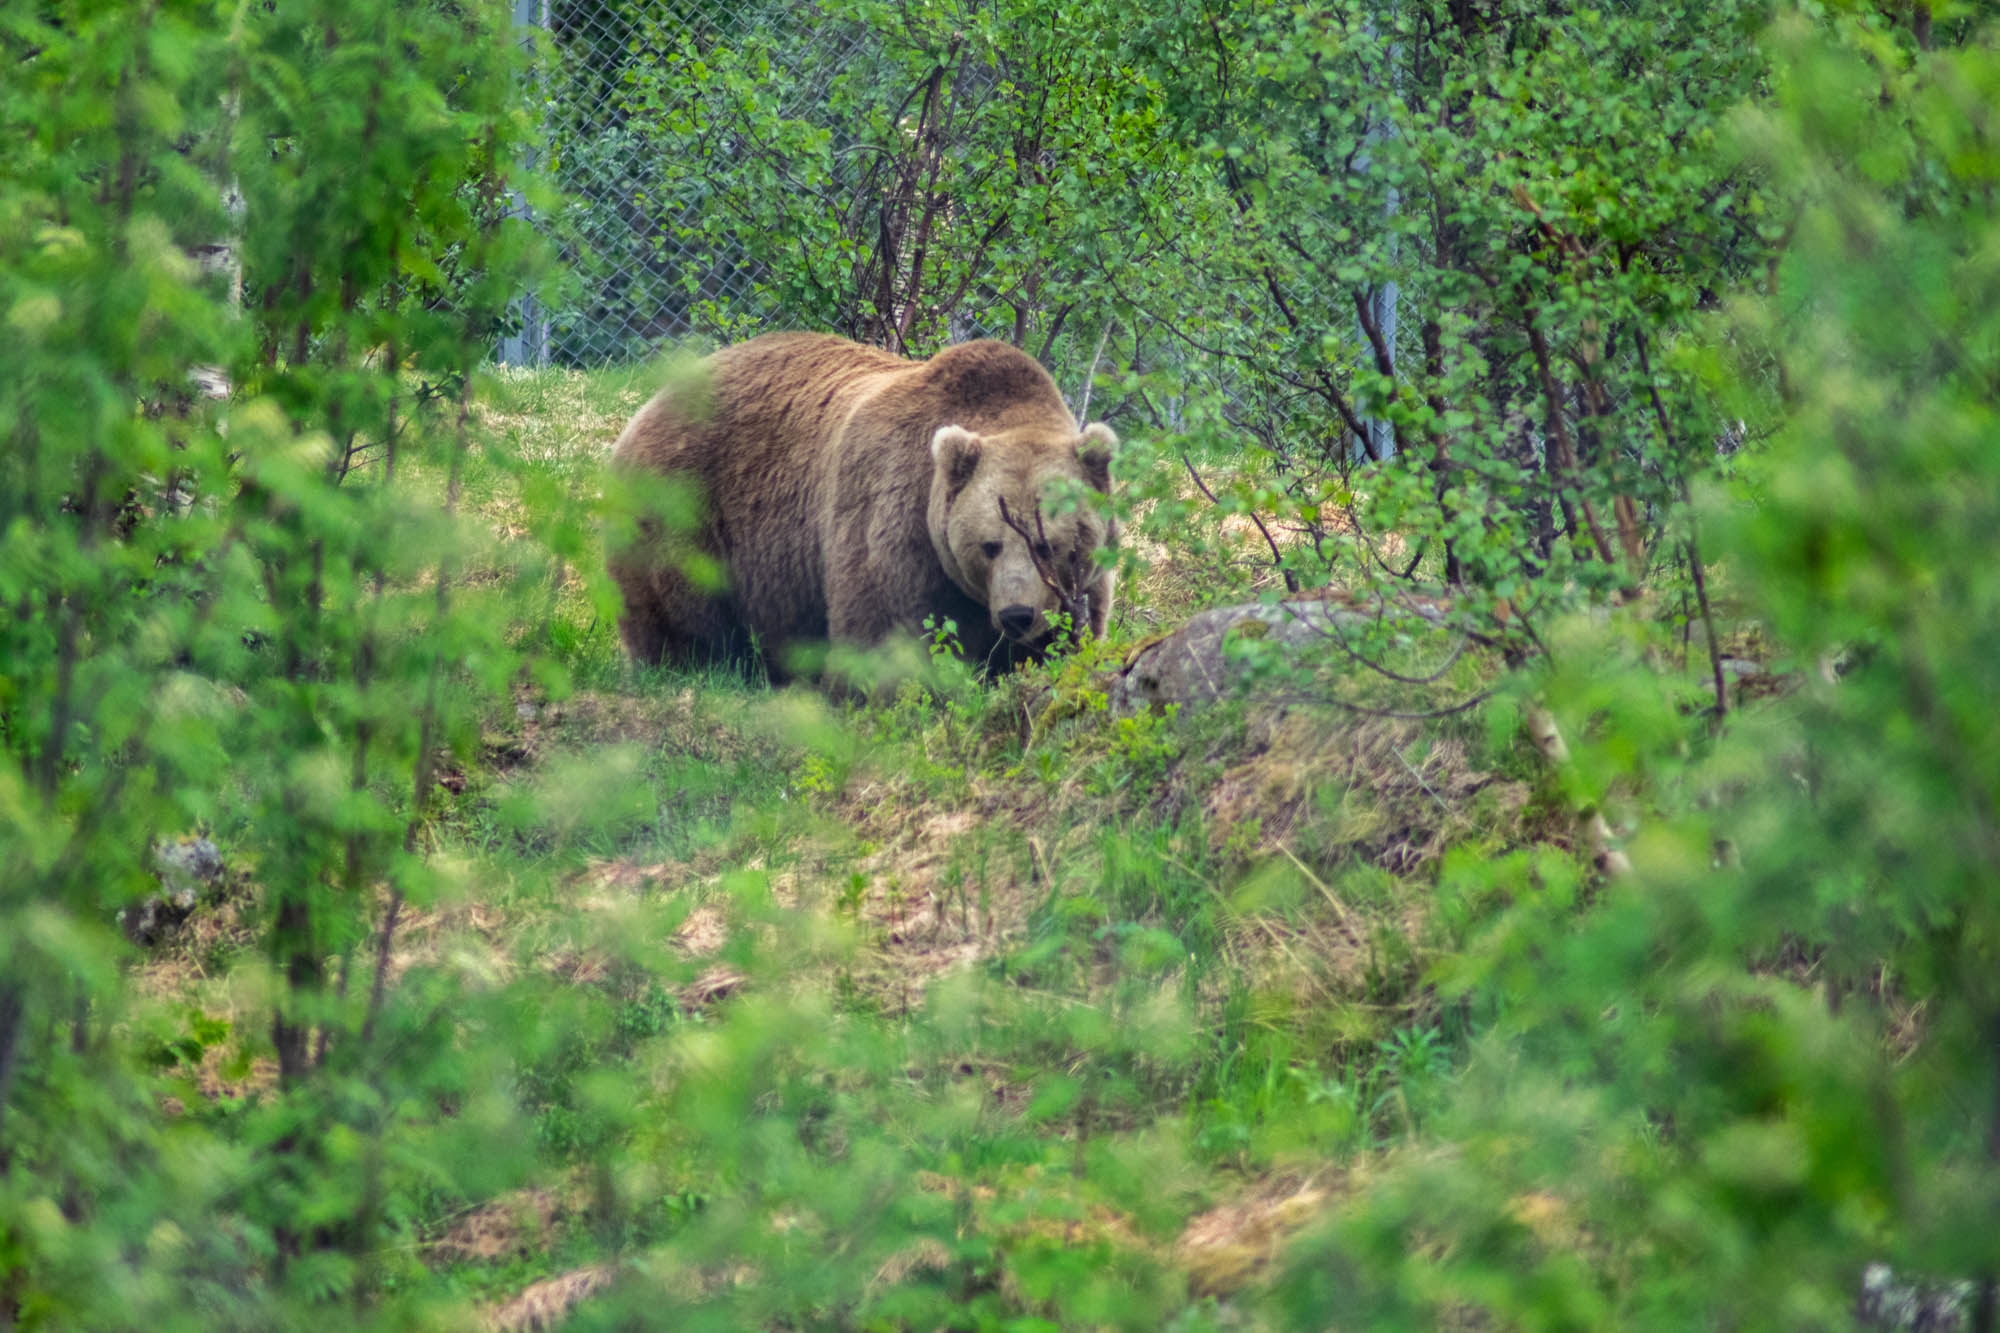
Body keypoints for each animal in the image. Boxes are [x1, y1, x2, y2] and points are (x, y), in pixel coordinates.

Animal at [600, 328, 1120, 680]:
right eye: (989, 544)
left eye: (1050, 545)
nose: (1016, 614)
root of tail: (646, 406)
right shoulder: (894, 521)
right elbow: (883, 630)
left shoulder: (1083, 584)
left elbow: (1067, 639)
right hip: (684, 506)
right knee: (681, 612)